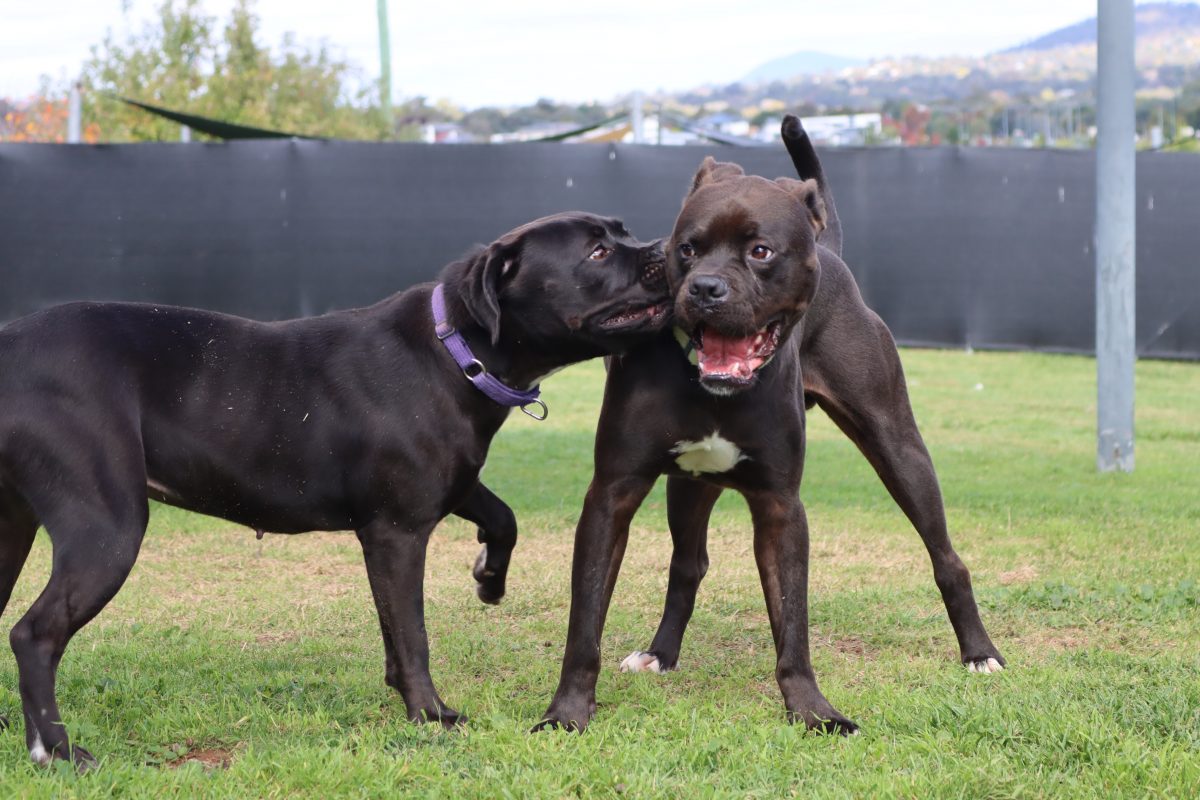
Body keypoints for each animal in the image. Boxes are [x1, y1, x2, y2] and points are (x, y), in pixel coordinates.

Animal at [537, 115, 1003, 734]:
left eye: (760, 251)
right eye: (685, 249)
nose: (705, 288)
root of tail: (827, 248)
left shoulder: (782, 506)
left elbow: (793, 623)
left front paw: (813, 710)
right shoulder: (612, 494)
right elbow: (585, 619)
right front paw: (567, 712)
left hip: (898, 447)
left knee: (946, 556)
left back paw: (979, 652)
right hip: (690, 487)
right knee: (688, 565)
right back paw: (660, 653)